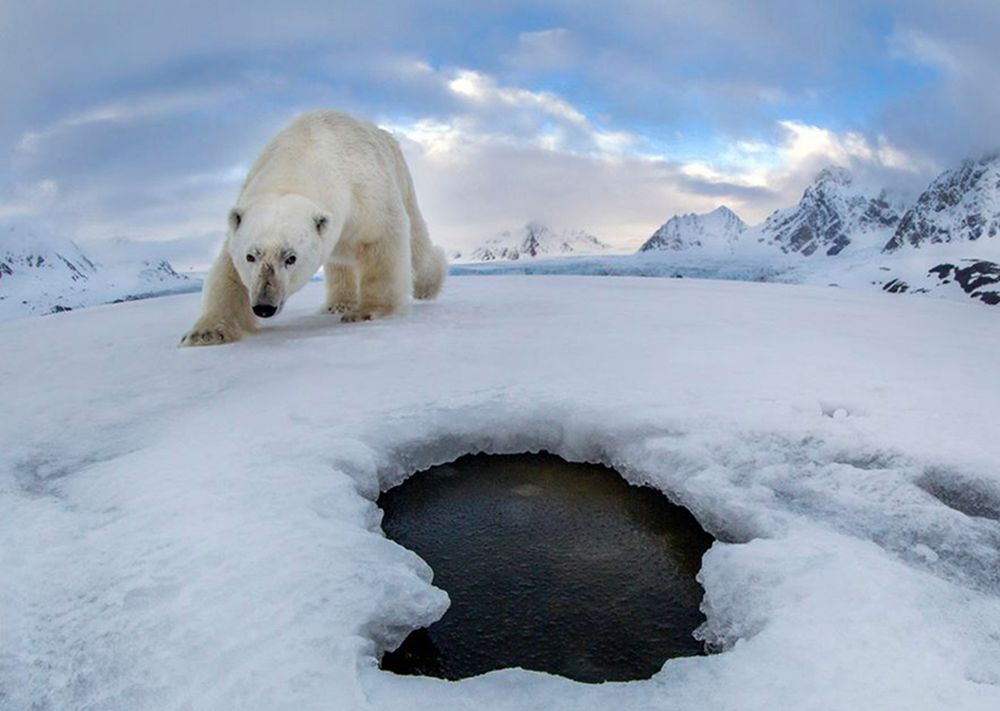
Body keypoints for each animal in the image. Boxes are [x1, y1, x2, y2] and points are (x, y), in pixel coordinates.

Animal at [180, 108, 446, 348]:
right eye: (250, 256)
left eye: (291, 258)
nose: (264, 306)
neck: (302, 152)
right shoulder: (246, 215)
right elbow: (229, 272)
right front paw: (206, 332)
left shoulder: (367, 192)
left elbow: (381, 242)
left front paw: (366, 312)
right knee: (340, 264)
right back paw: (338, 303)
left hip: (401, 177)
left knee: (417, 241)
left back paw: (428, 285)